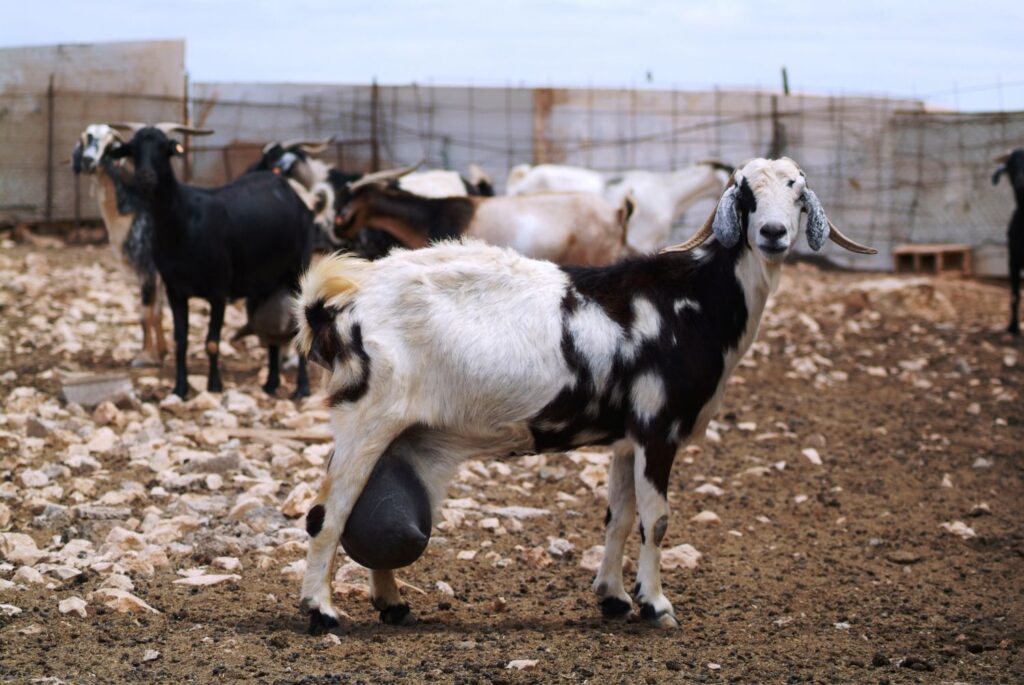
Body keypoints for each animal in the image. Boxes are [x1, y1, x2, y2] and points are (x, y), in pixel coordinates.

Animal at [72, 124, 167, 367]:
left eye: (110, 146)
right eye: (86, 138)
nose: (88, 161)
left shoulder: (147, 269)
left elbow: (146, 314)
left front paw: (145, 357)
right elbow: (158, 312)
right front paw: (161, 352)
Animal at [108, 123, 315, 399]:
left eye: (164, 148)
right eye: (133, 148)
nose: (145, 177)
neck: (183, 224)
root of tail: (293, 195)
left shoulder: (218, 290)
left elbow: (212, 342)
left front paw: (214, 385)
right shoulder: (175, 291)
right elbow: (181, 342)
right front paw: (179, 388)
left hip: (297, 271)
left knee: (297, 327)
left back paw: (302, 388)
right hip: (265, 283)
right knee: (269, 326)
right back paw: (270, 384)